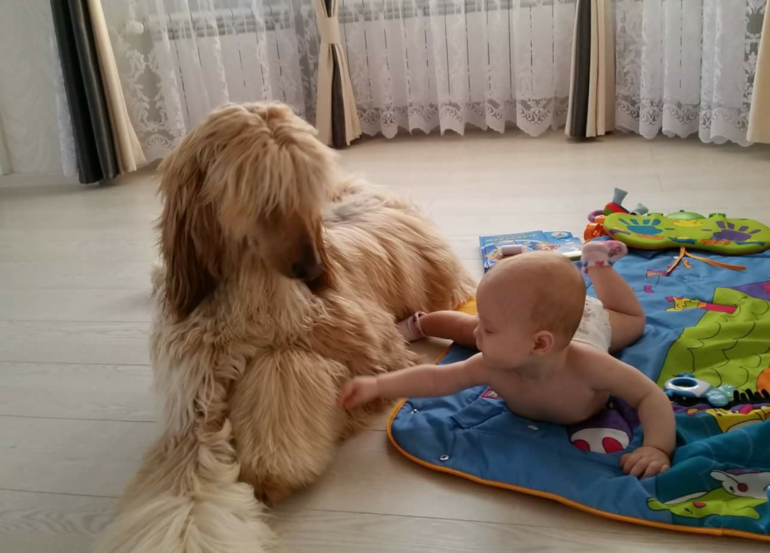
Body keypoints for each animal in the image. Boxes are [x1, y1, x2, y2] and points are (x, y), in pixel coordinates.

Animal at [95, 103, 474, 552]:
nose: (313, 270)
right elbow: (184, 497)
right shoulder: (193, 414)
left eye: (304, 190)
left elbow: (286, 371)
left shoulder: (372, 351)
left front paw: (270, 473)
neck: (249, 293)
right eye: (264, 195)